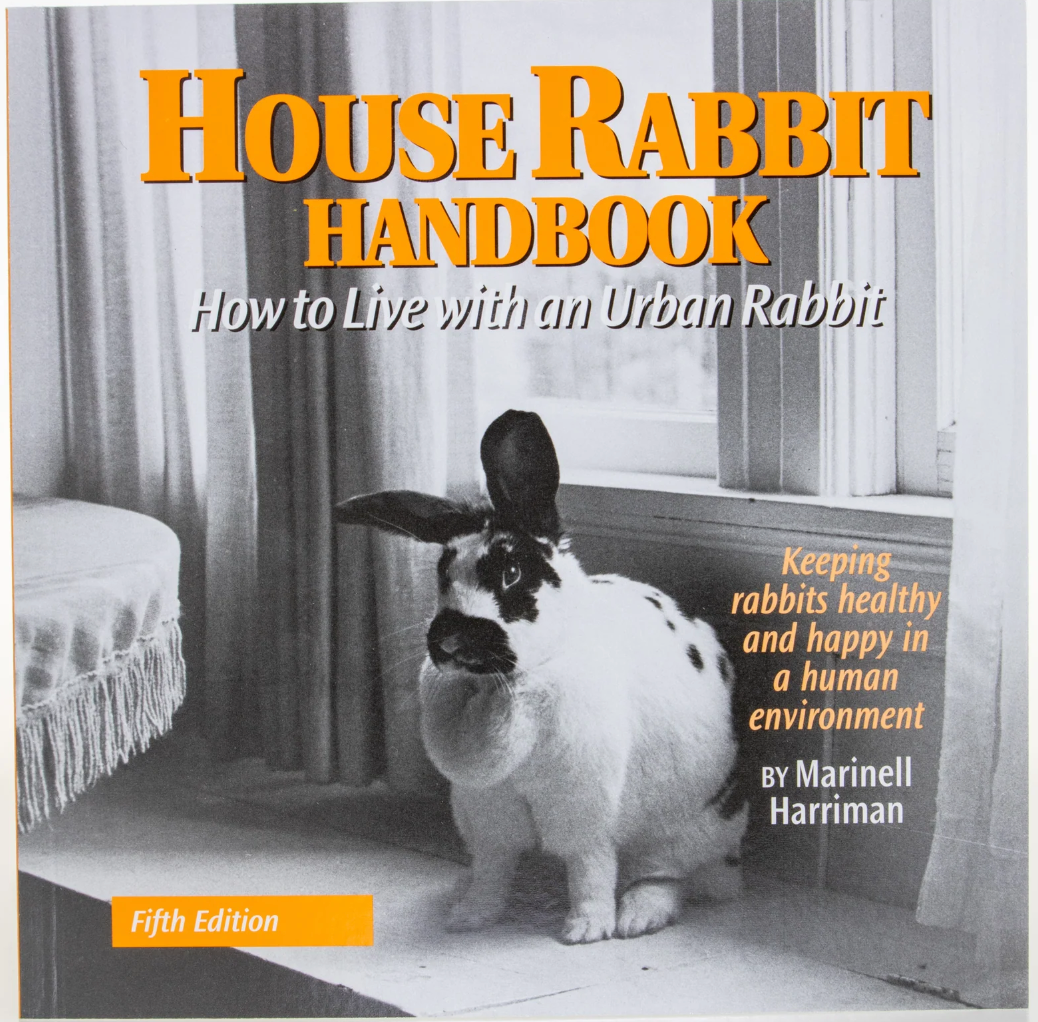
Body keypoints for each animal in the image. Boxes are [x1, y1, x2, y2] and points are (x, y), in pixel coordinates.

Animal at [335, 409, 747, 944]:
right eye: (442, 574)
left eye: (511, 573)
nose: (449, 641)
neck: (514, 683)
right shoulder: (489, 811)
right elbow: (493, 869)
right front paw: (471, 916)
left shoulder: (583, 810)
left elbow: (590, 868)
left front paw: (586, 928)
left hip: (688, 830)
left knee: (666, 876)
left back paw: (637, 916)